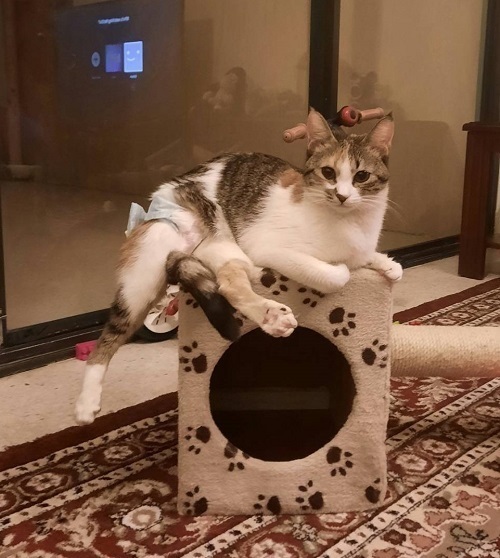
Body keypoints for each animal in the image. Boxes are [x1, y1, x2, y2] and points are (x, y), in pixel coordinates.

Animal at [75, 109, 401, 425]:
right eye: (328, 172)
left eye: (361, 176)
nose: (342, 196)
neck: (349, 224)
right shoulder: (268, 246)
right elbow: (337, 274)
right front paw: (344, 268)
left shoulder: (359, 246)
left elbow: (366, 257)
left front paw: (388, 264)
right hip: (159, 258)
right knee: (115, 332)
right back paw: (86, 404)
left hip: (222, 250)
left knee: (227, 281)